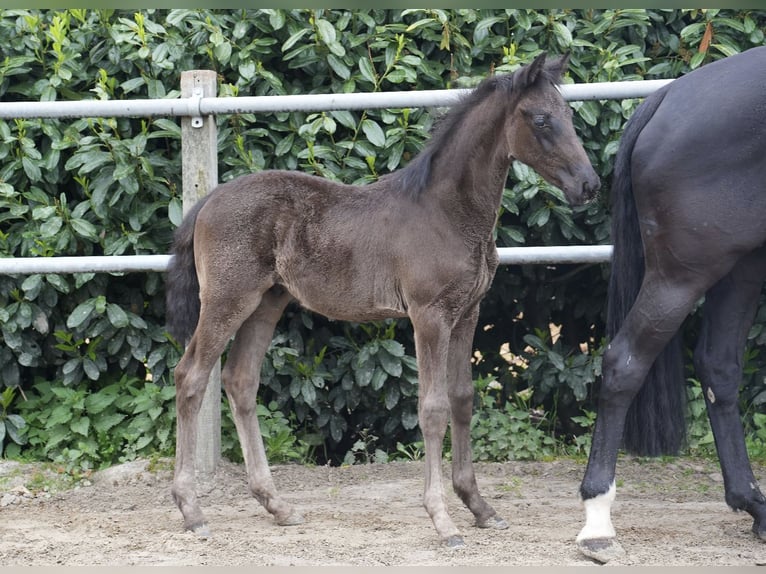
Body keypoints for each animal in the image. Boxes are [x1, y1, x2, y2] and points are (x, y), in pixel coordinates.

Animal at [580, 46, 766, 568]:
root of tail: (670, 97)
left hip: (743, 265)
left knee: (719, 367)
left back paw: (754, 505)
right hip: (682, 277)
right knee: (624, 362)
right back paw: (597, 523)